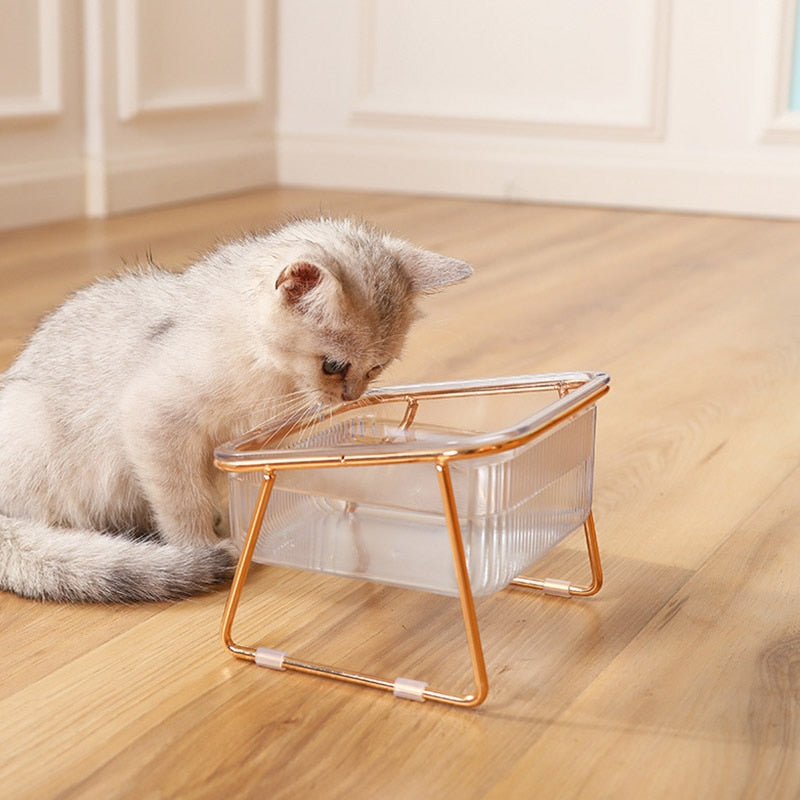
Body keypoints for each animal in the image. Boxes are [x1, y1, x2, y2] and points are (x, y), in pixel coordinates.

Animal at [0, 217, 472, 600]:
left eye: (377, 368)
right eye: (333, 366)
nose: (352, 397)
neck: (264, 365)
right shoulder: (153, 418)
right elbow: (181, 499)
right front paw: (198, 544)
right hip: (37, 432)